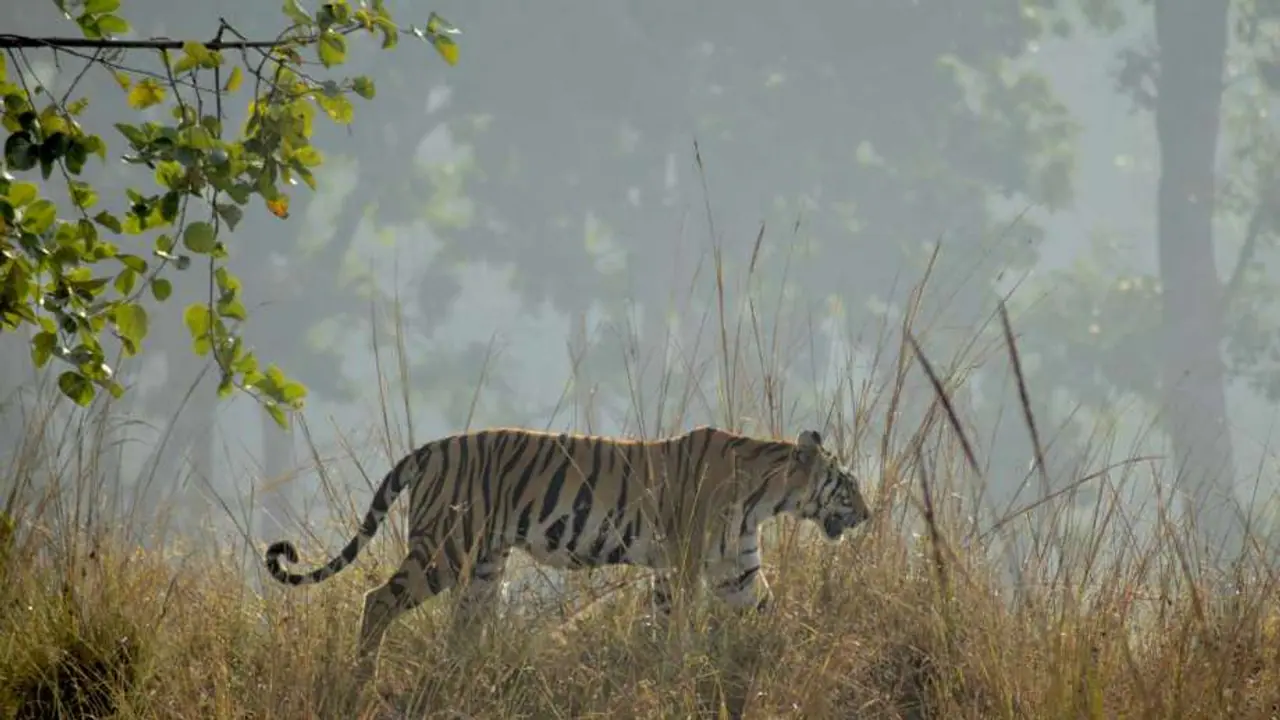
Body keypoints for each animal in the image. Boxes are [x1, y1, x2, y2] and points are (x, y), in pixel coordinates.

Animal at [263, 425, 872, 687]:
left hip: (484, 566)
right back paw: (362, 678)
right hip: (444, 549)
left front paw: (799, 651)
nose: (867, 514)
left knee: (462, 628)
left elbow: (771, 616)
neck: (769, 498)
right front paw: (676, 671)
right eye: (848, 485)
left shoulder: (736, 574)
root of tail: (432, 447)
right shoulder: (684, 564)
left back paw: (462, 677)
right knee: (377, 600)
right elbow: (676, 625)